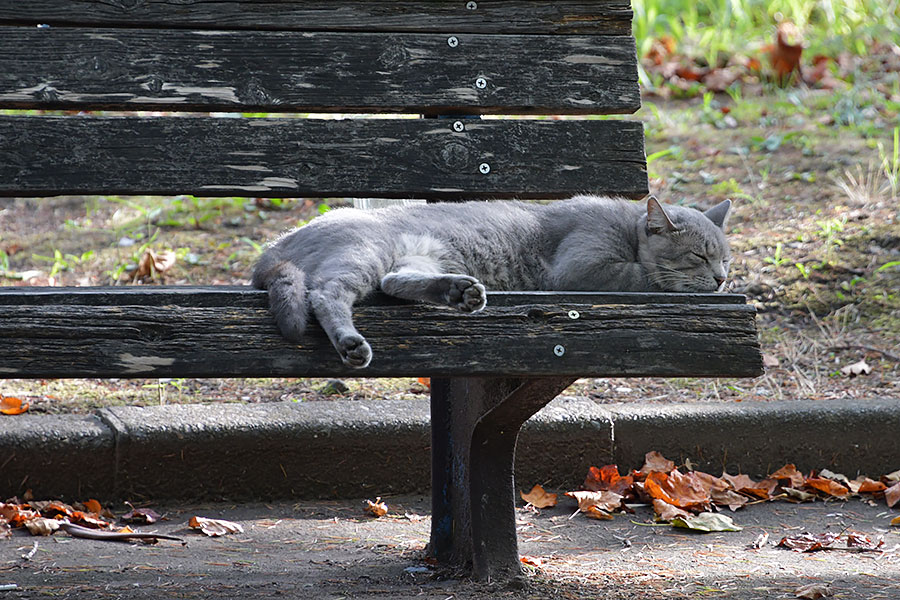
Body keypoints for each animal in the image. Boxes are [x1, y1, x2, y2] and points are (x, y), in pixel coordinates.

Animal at [253, 195, 732, 368]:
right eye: (699, 256)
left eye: (726, 257)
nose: (723, 278)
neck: (628, 227)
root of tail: (274, 246)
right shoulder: (583, 265)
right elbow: (645, 275)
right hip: (363, 251)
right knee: (325, 293)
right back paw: (352, 344)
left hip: (413, 257)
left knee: (392, 282)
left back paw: (460, 292)